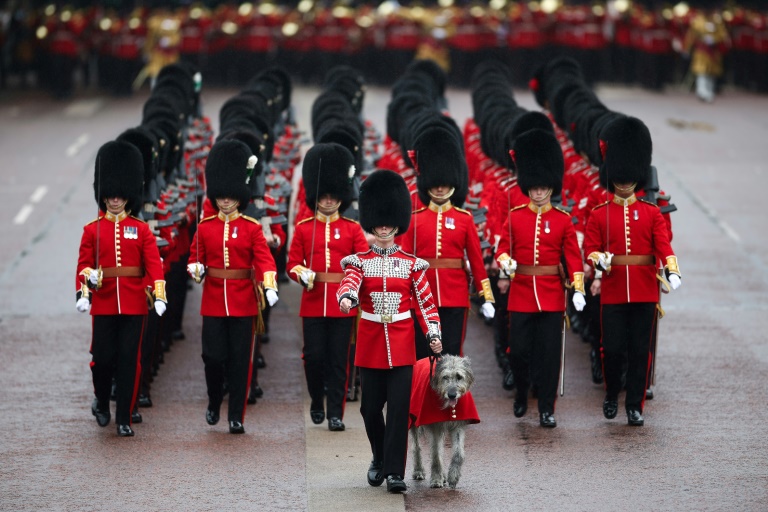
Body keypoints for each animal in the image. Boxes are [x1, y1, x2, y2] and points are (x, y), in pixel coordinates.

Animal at [408, 354, 480, 490]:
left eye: (459, 377)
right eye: (445, 377)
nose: (451, 395)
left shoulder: (458, 425)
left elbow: (458, 453)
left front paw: (453, 476)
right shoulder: (435, 426)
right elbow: (436, 454)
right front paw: (436, 479)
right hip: (413, 419)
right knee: (416, 446)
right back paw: (419, 470)